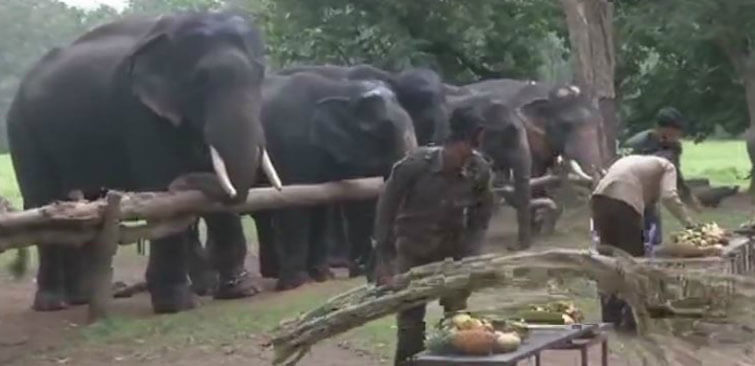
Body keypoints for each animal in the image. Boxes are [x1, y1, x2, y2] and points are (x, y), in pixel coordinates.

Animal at [6, 12, 280, 314]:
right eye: (201, 80)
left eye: (260, 75)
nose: (183, 181)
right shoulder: (139, 113)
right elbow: (161, 186)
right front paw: (177, 305)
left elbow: (221, 190)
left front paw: (242, 292)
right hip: (22, 130)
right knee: (42, 199)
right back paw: (53, 304)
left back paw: (80, 298)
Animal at [254, 71, 420, 288]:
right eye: (384, 129)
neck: (340, 88)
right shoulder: (291, 148)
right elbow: (293, 204)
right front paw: (297, 283)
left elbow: (320, 205)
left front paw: (323, 276)